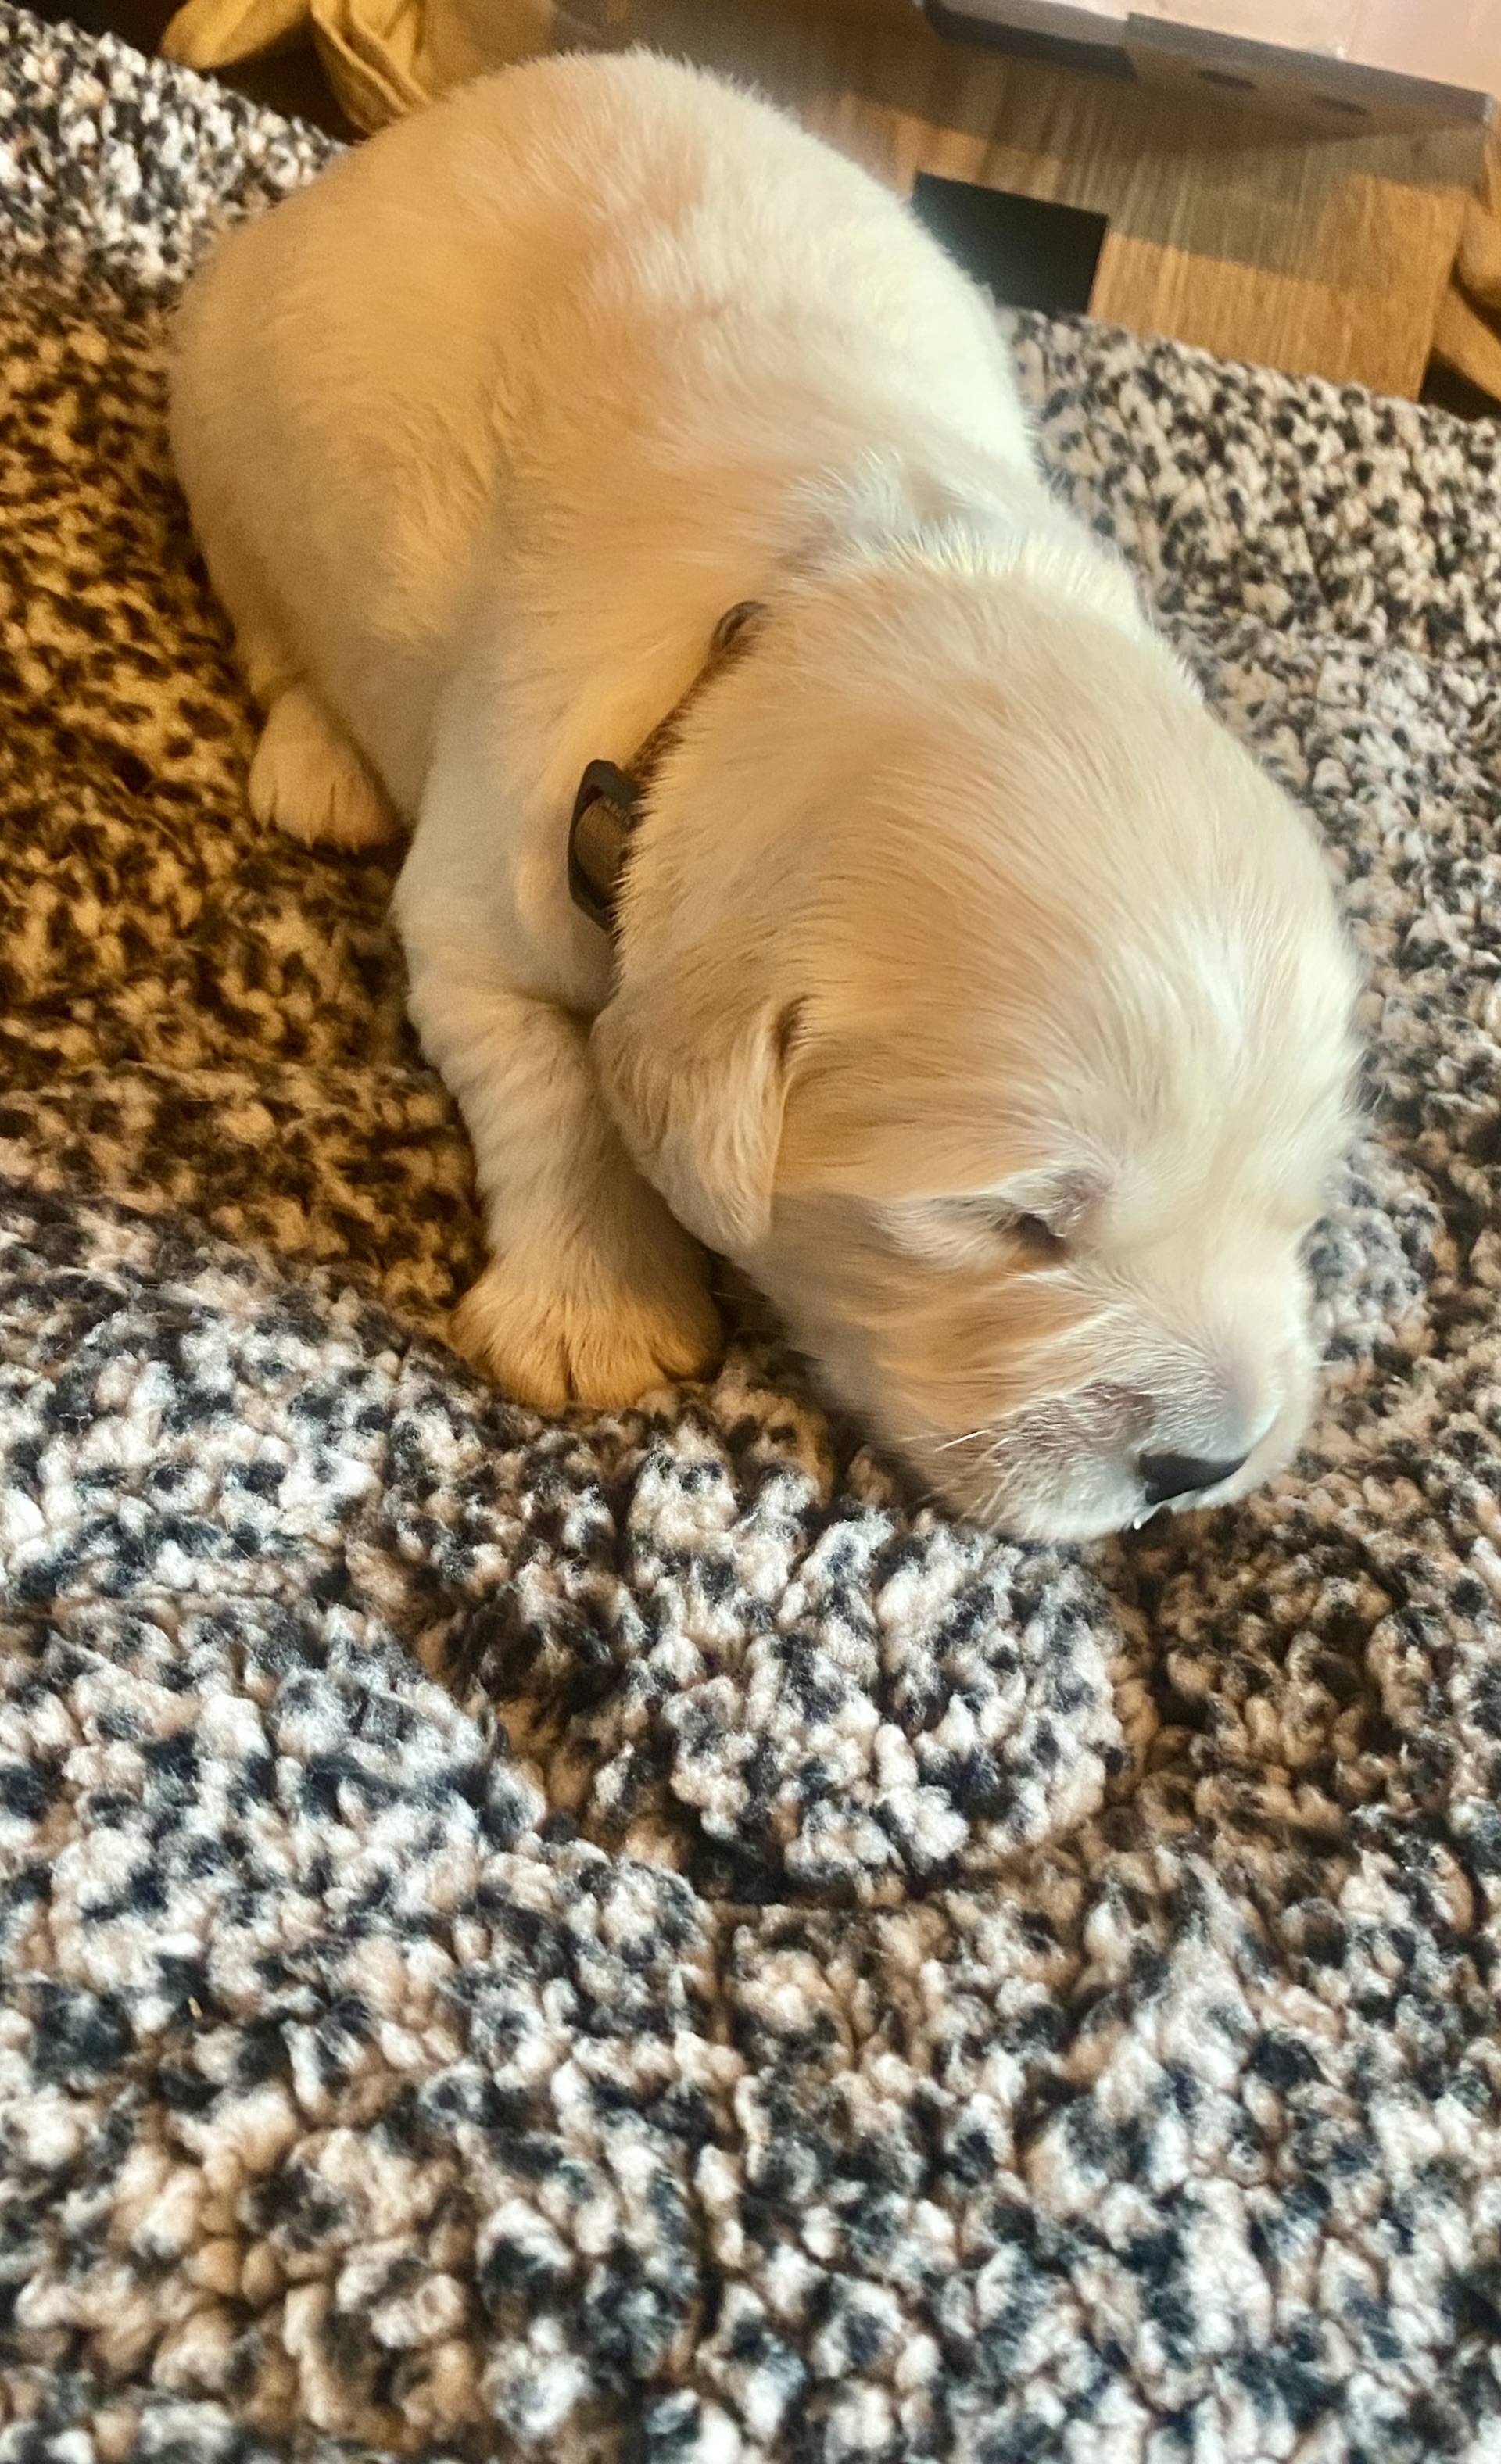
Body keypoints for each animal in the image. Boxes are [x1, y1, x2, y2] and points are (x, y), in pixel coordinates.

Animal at [166, 48, 1360, 1527]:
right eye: (1016, 1222)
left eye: (1296, 1211)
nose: (1208, 1467)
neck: (837, 597)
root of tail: (427, 122)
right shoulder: (486, 891)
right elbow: (558, 1080)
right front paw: (596, 1316)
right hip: (224, 406)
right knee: (268, 615)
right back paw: (318, 758)